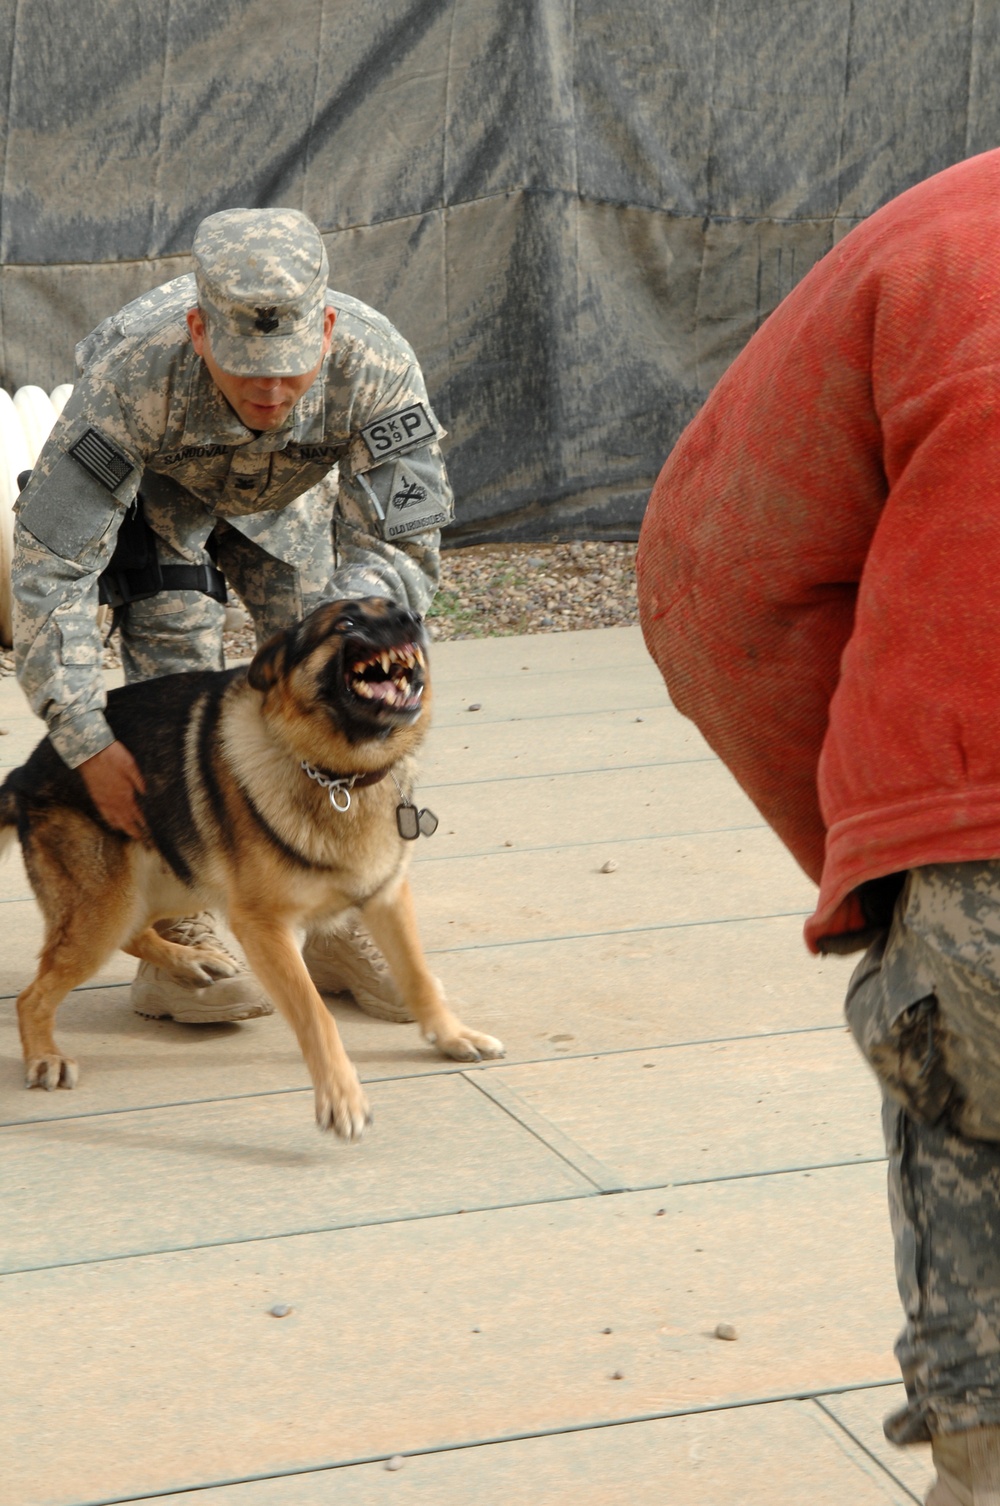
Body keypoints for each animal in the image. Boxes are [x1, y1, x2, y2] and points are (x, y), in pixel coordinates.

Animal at [0, 593, 500, 1132]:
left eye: (396, 606)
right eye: (346, 623)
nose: (414, 619)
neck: (338, 776)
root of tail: (22, 773)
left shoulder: (385, 897)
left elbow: (419, 977)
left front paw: (453, 1036)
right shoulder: (265, 928)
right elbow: (315, 1014)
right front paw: (341, 1097)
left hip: (175, 880)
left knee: (133, 933)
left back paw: (191, 960)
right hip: (109, 907)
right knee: (34, 995)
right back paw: (44, 1055)